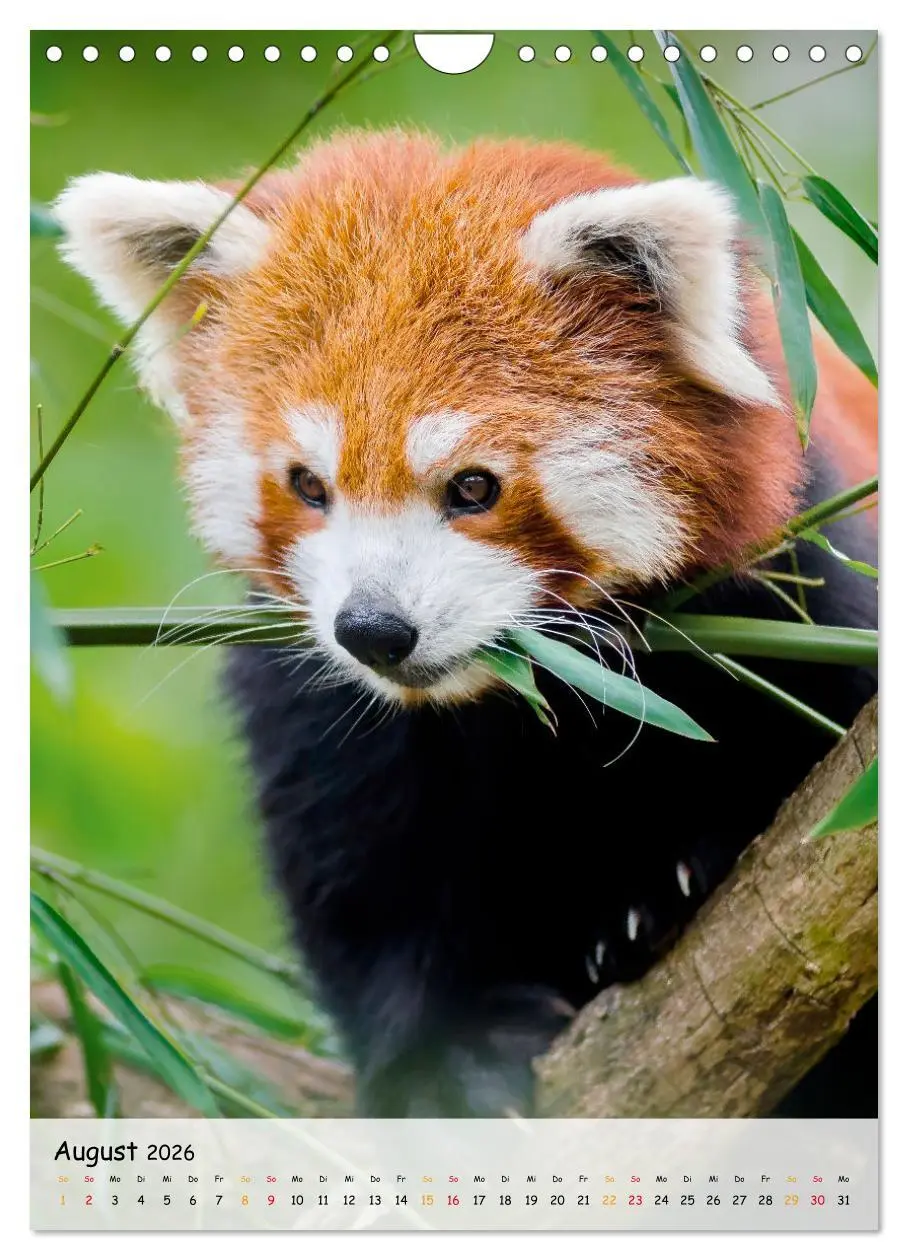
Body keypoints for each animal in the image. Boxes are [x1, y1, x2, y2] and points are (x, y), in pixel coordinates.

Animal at [55, 129, 878, 1119]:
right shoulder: (315, 695)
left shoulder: (803, 592)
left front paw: (678, 880)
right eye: (308, 485)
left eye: (474, 487)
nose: (375, 629)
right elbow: (364, 881)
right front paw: (442, 1064)